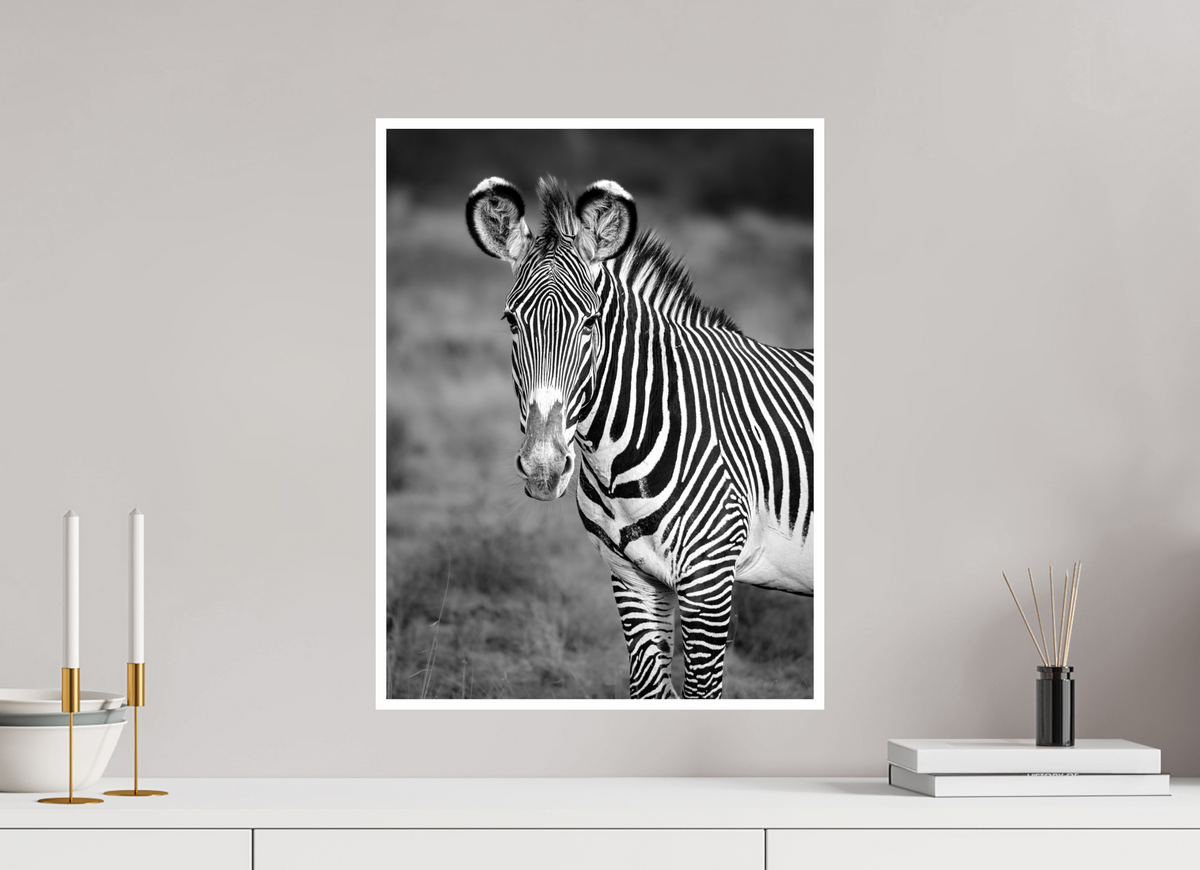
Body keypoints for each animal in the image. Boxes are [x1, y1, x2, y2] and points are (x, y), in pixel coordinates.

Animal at [466, 176, 815, 699]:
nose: (543, 468)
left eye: (591, 323)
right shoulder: (631, 577)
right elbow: (648, 686)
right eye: (511, 321)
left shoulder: (709, 580)